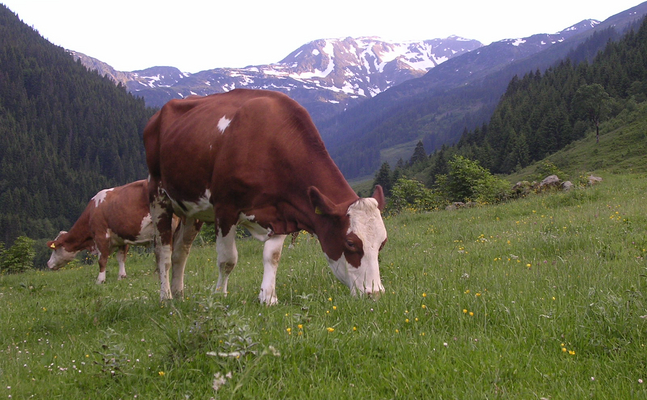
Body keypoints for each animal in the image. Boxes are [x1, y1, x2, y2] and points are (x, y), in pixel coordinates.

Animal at [144, 89, 388, 304]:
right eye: (350, 243)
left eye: (382, 243)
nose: (375, 294)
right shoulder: (225, 208)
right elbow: (227, 260)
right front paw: (219, 296)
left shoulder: (280, 212)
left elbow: (273, 256)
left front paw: (268, 298)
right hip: (158, 194)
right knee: (163, 253)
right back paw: (166, 297)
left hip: (191, 210)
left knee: (180, 252)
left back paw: (179, 294)